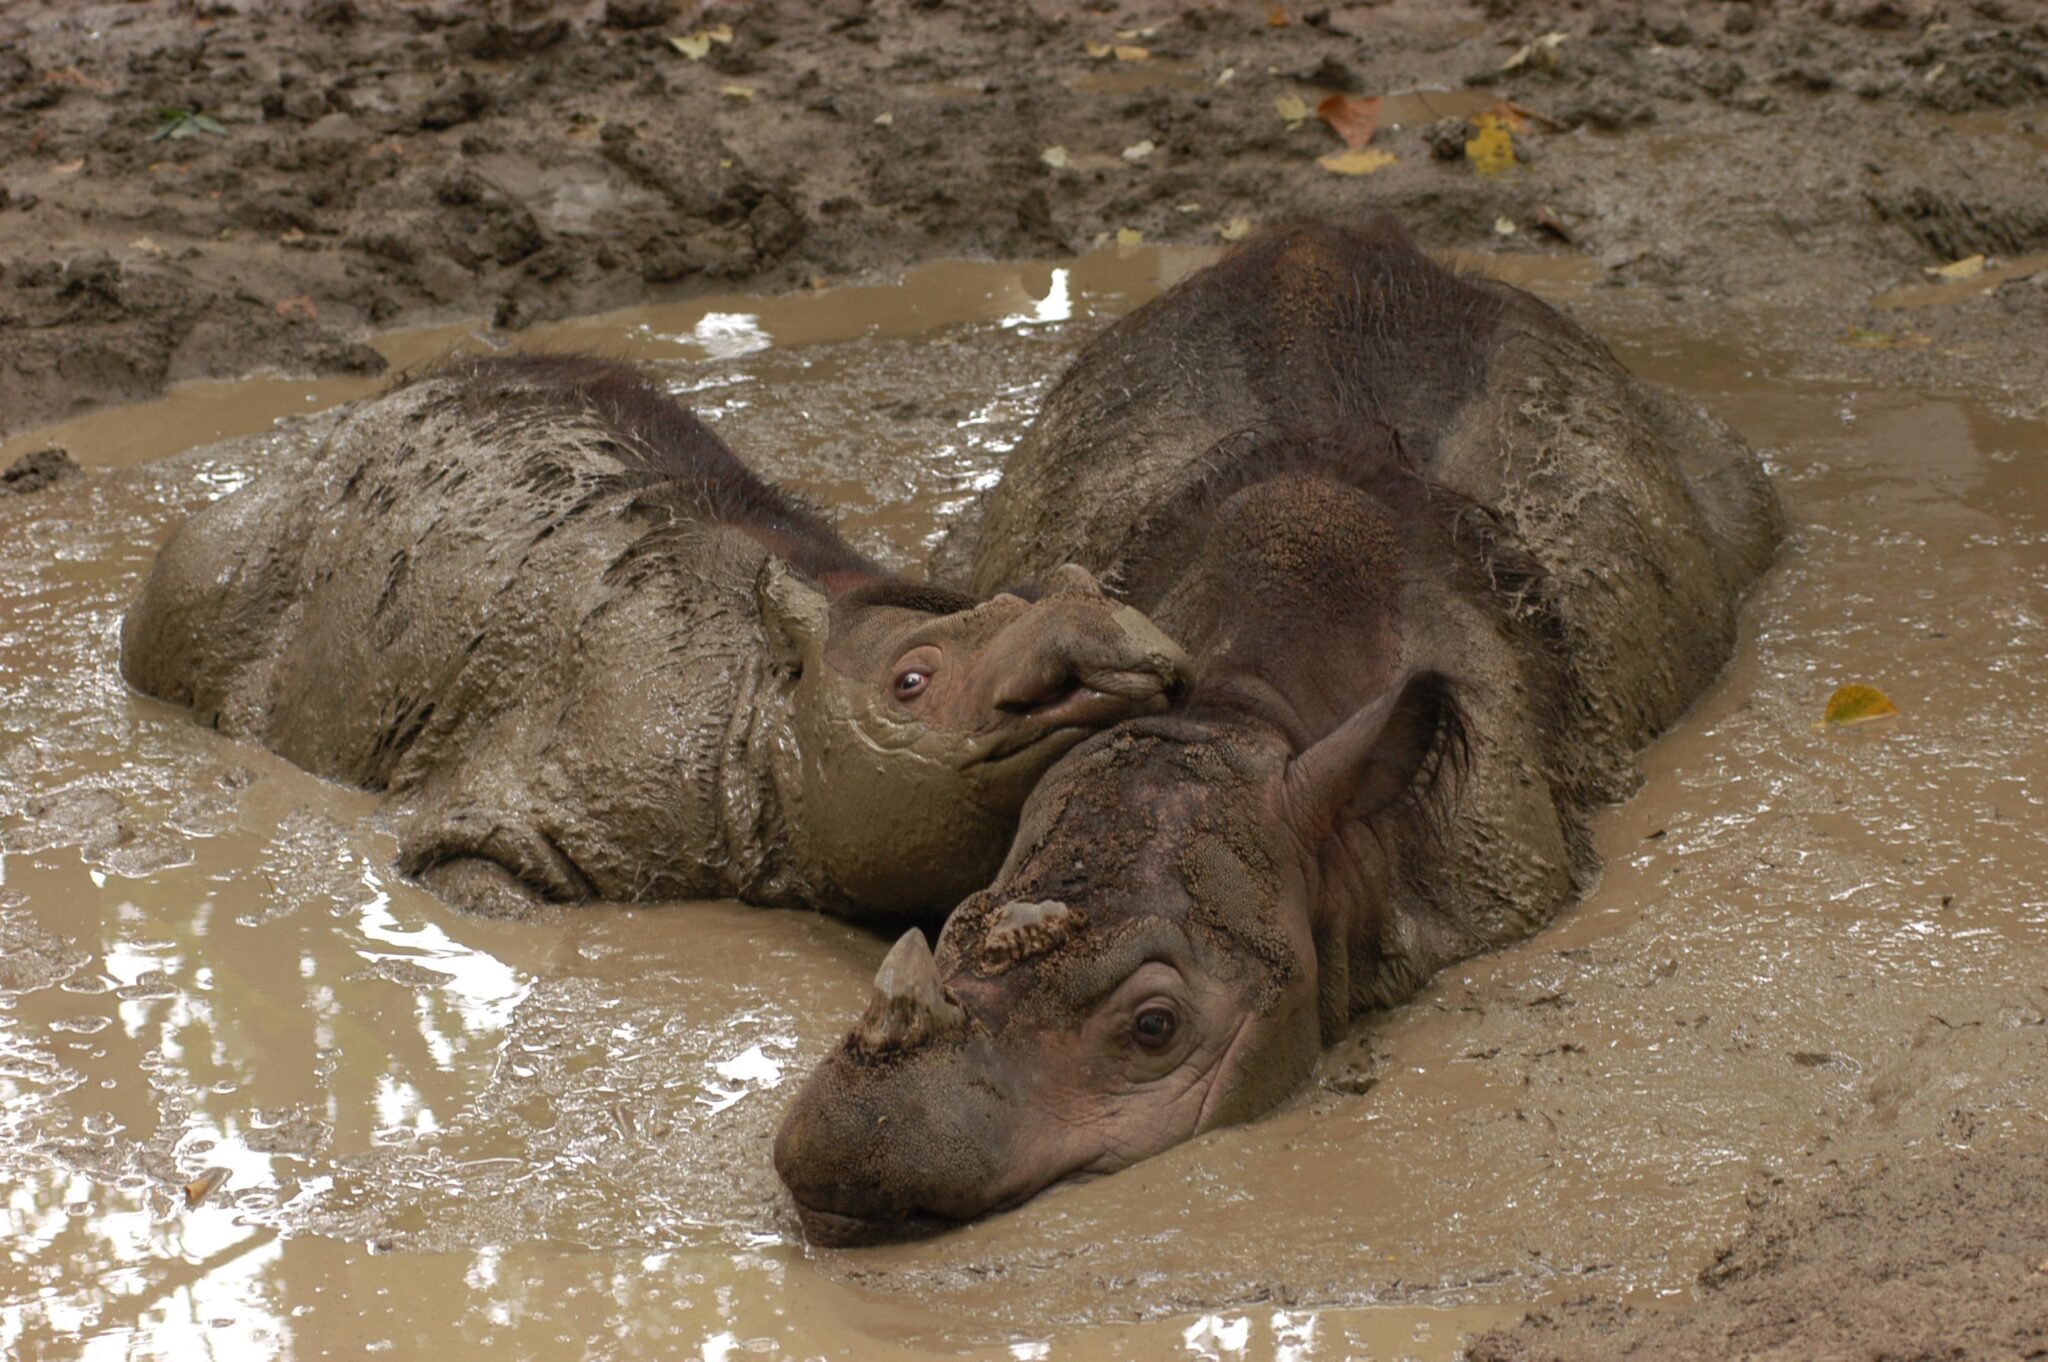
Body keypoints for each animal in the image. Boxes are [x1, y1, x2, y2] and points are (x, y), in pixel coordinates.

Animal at [123, 356, 1187, 917]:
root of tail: (334, 425)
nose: (1108, 632)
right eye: (911, 683)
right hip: (245, 549)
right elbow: (484, 874)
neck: (765, 689)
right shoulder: (499, 811)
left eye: (1080, 586)